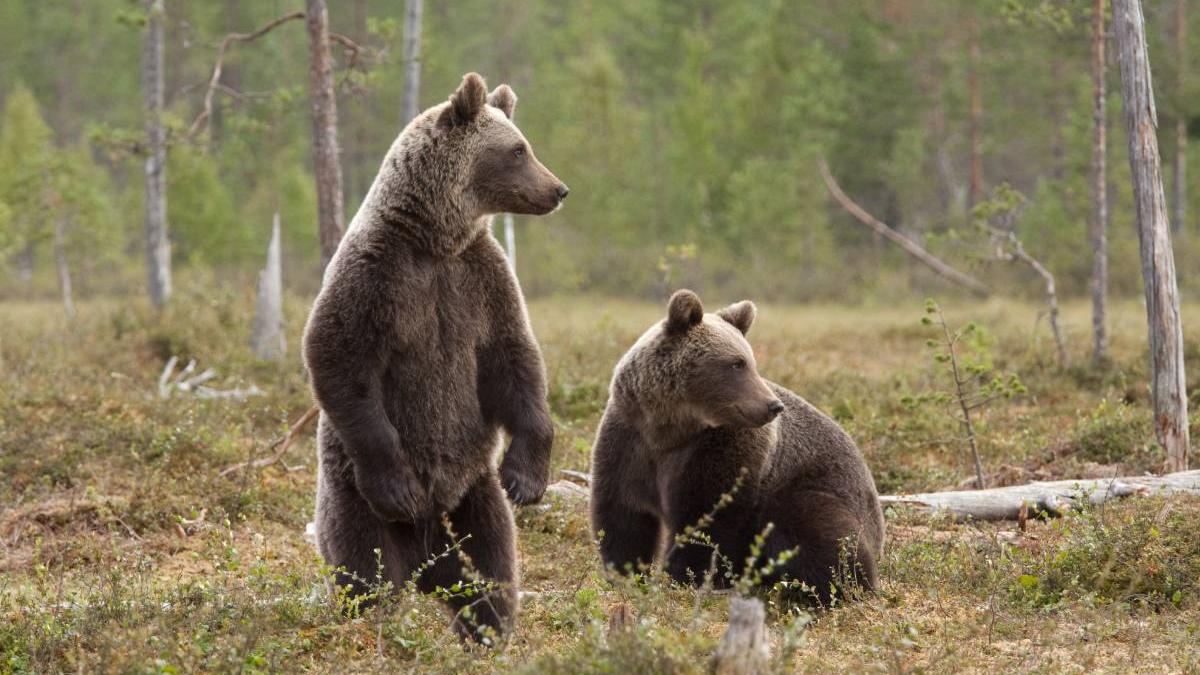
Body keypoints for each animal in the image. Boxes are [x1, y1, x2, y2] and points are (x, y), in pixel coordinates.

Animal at [588, 288, 883, 598]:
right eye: (737, 363)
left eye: (750, 362)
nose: (772, 406)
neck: (670, 427)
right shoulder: (630, 440)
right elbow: (624, 515)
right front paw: (626, 574)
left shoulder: (721, 450)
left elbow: (707, 517)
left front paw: (685, 577)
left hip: (813, 488)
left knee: (817, 531)